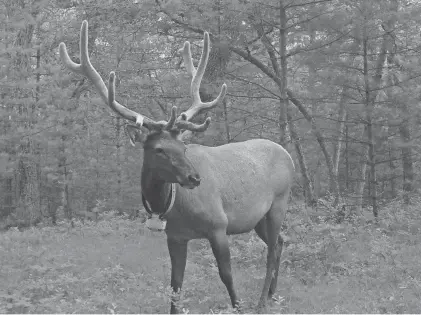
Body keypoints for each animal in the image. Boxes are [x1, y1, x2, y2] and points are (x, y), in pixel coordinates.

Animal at [58, 21, 296, 314]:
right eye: (159, 149)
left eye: (183, 147)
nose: (194, 177)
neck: (173, 207)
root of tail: (288, 154)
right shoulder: (175, 236)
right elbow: (175, 284)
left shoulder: (219, 225)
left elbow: (226, 275)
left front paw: (239, 306)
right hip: (258, 218)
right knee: (281, 241)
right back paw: (273, 294)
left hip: (279, 203)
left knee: (272, 250)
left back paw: (262, 300)